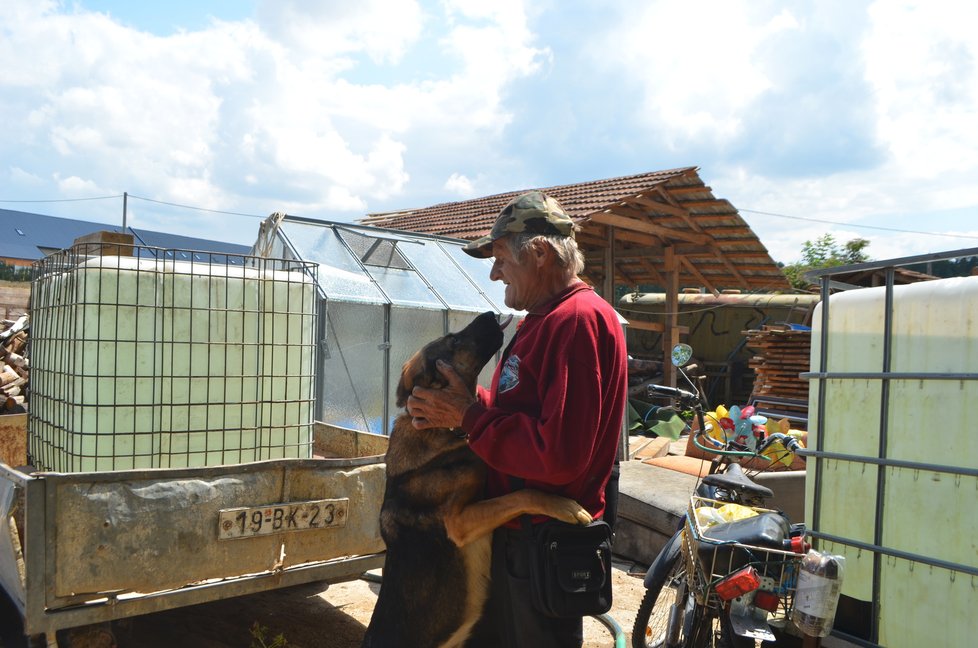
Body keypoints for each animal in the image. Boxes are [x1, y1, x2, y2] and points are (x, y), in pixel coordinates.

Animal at [362, 312, 592, 644]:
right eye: (454, 340)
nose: (489, 314)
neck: (437, 431)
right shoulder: (460, 522)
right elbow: (523, 494)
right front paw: (564, 506)